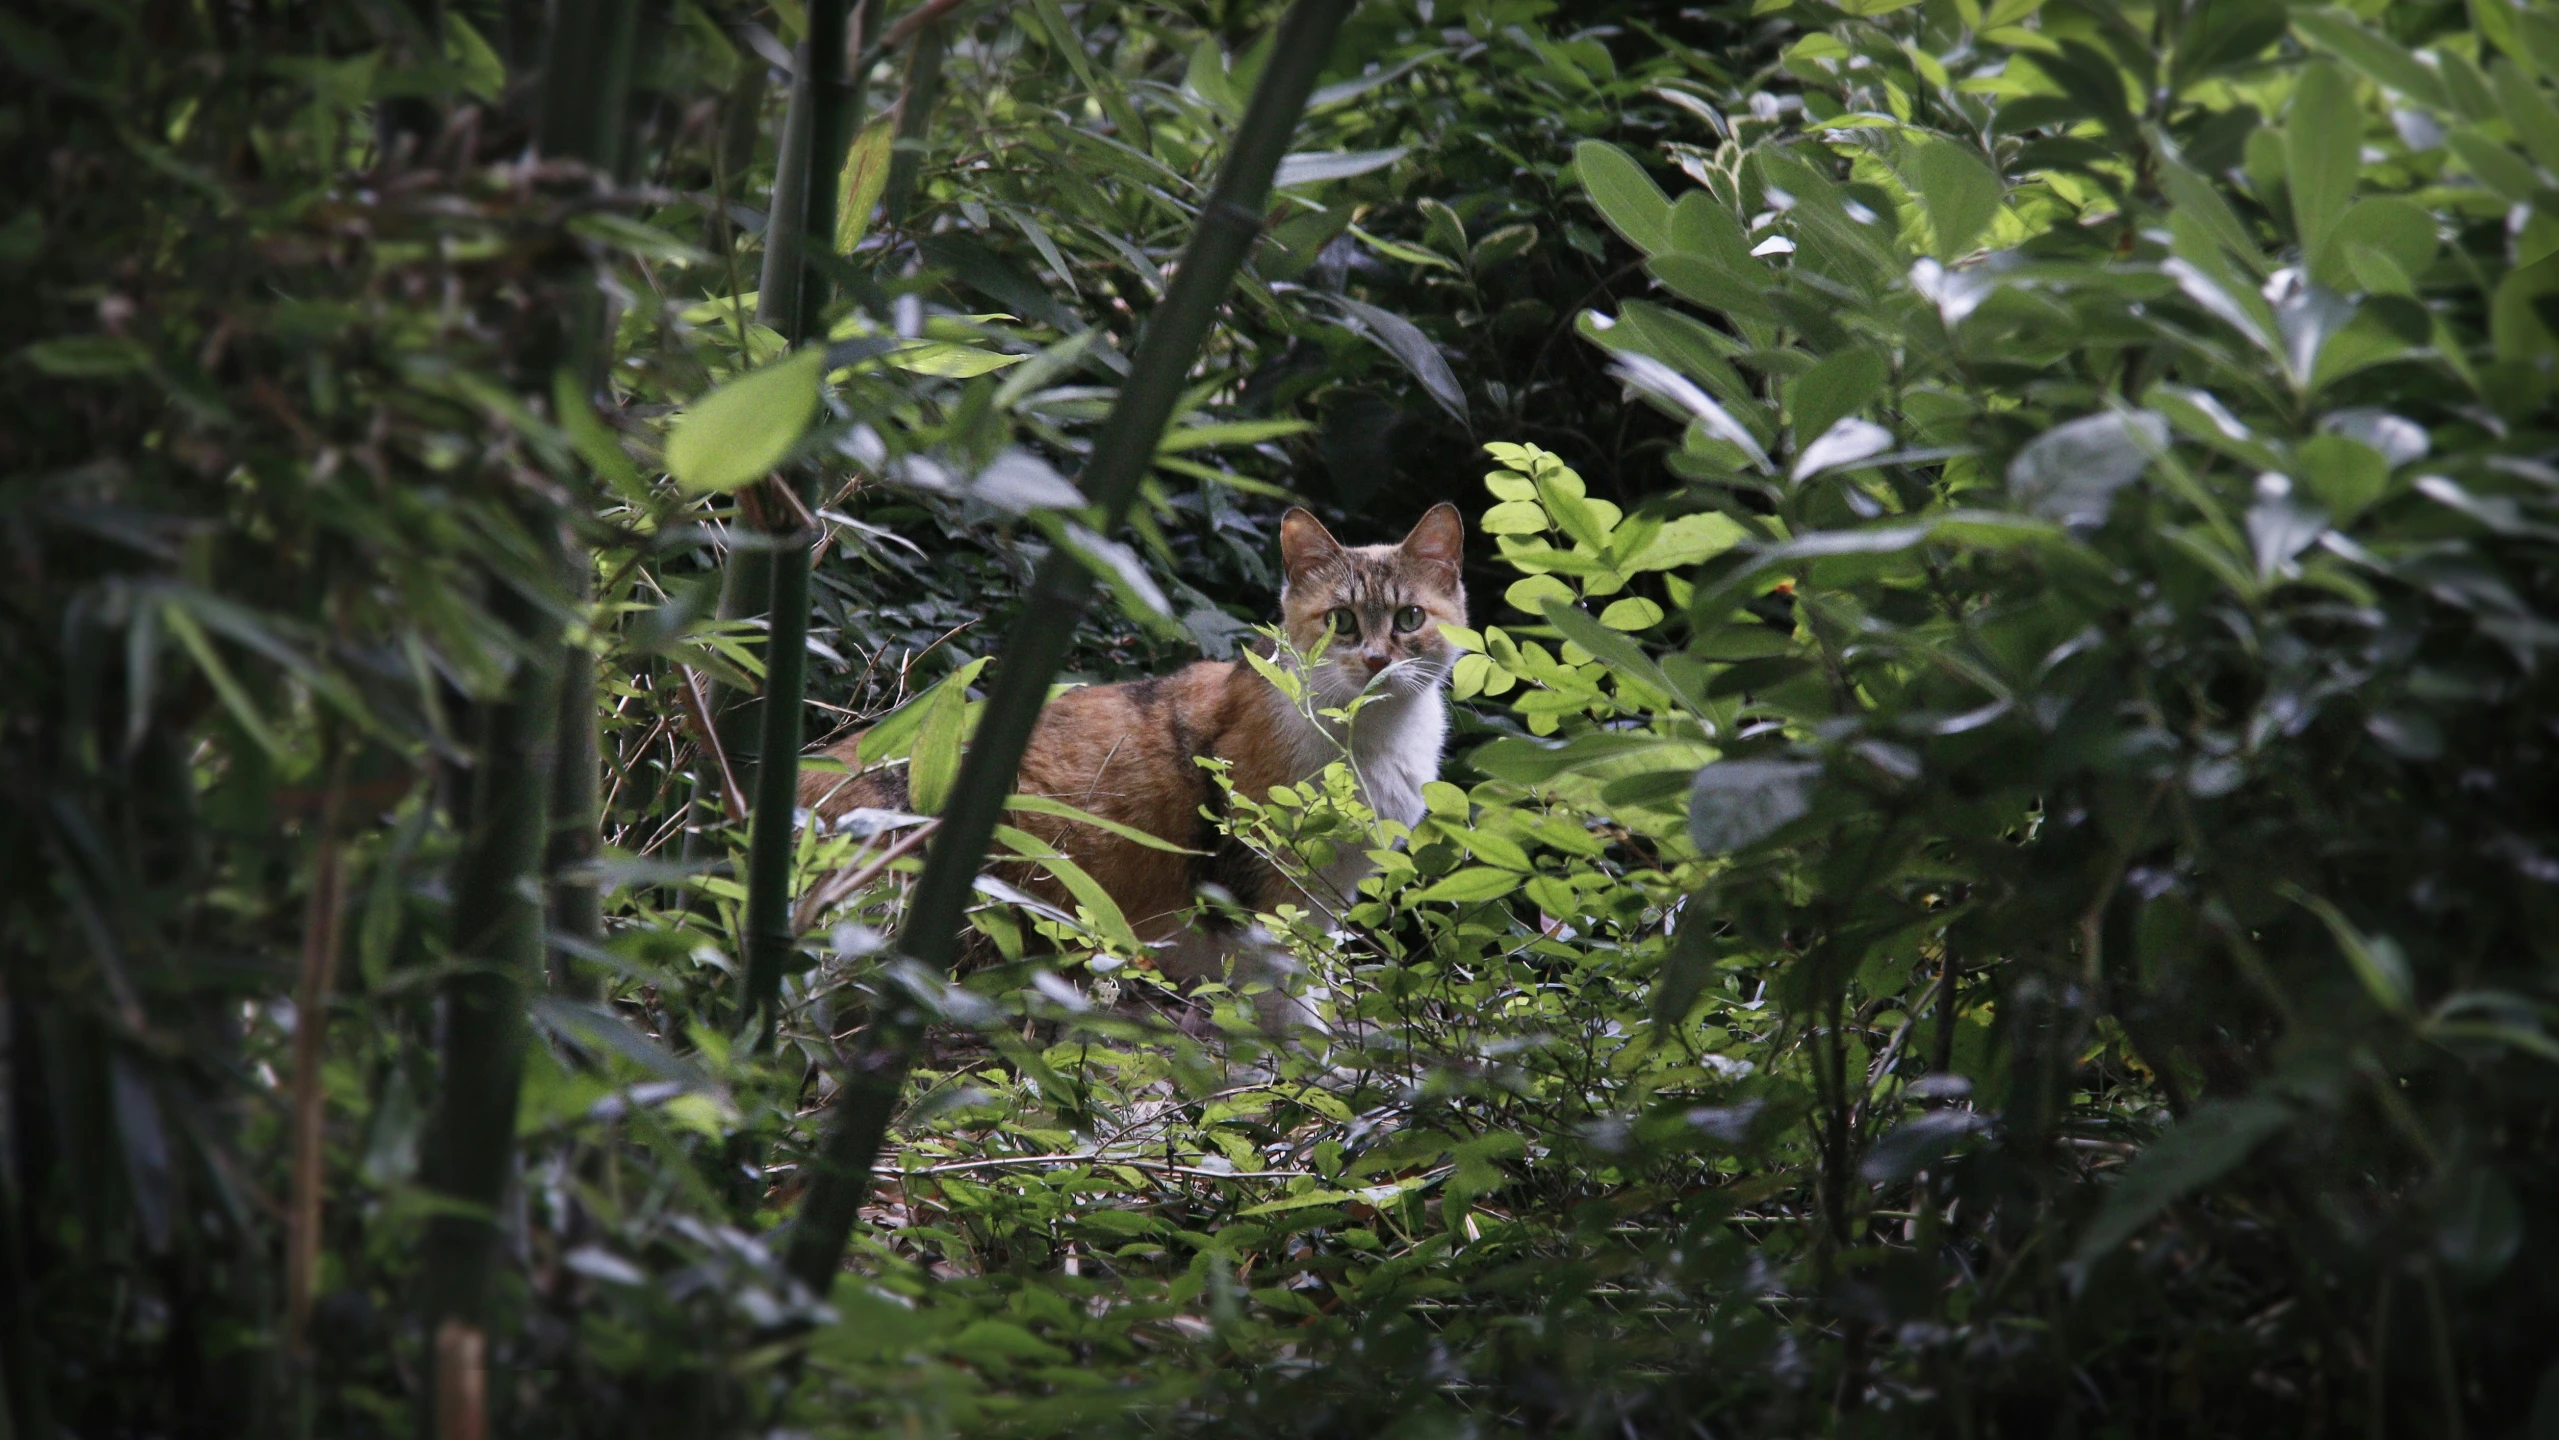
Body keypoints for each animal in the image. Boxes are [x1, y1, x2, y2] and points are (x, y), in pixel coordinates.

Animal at [798, 501, 1484, 1007]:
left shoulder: (1323, 903)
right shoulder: (1256, 889)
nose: (1375, 661)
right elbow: (1284, 1003)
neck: (1370, 743)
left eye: (1410, 618)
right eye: (1341, 621)